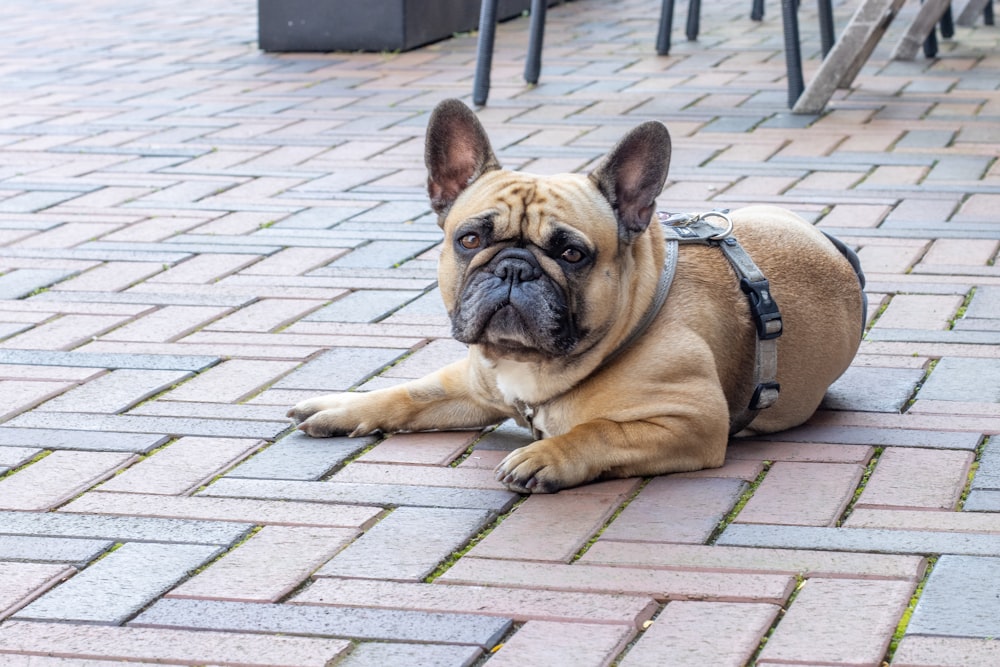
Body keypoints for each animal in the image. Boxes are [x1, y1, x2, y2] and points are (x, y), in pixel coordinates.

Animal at [290, 100, 868, 496]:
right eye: (469, 240)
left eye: (572, 254)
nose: (514, 267)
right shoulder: (473, 385)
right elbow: (408, 394)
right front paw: (343, 406)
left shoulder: (693, 422)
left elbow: (600, 430)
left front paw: (546, 455)